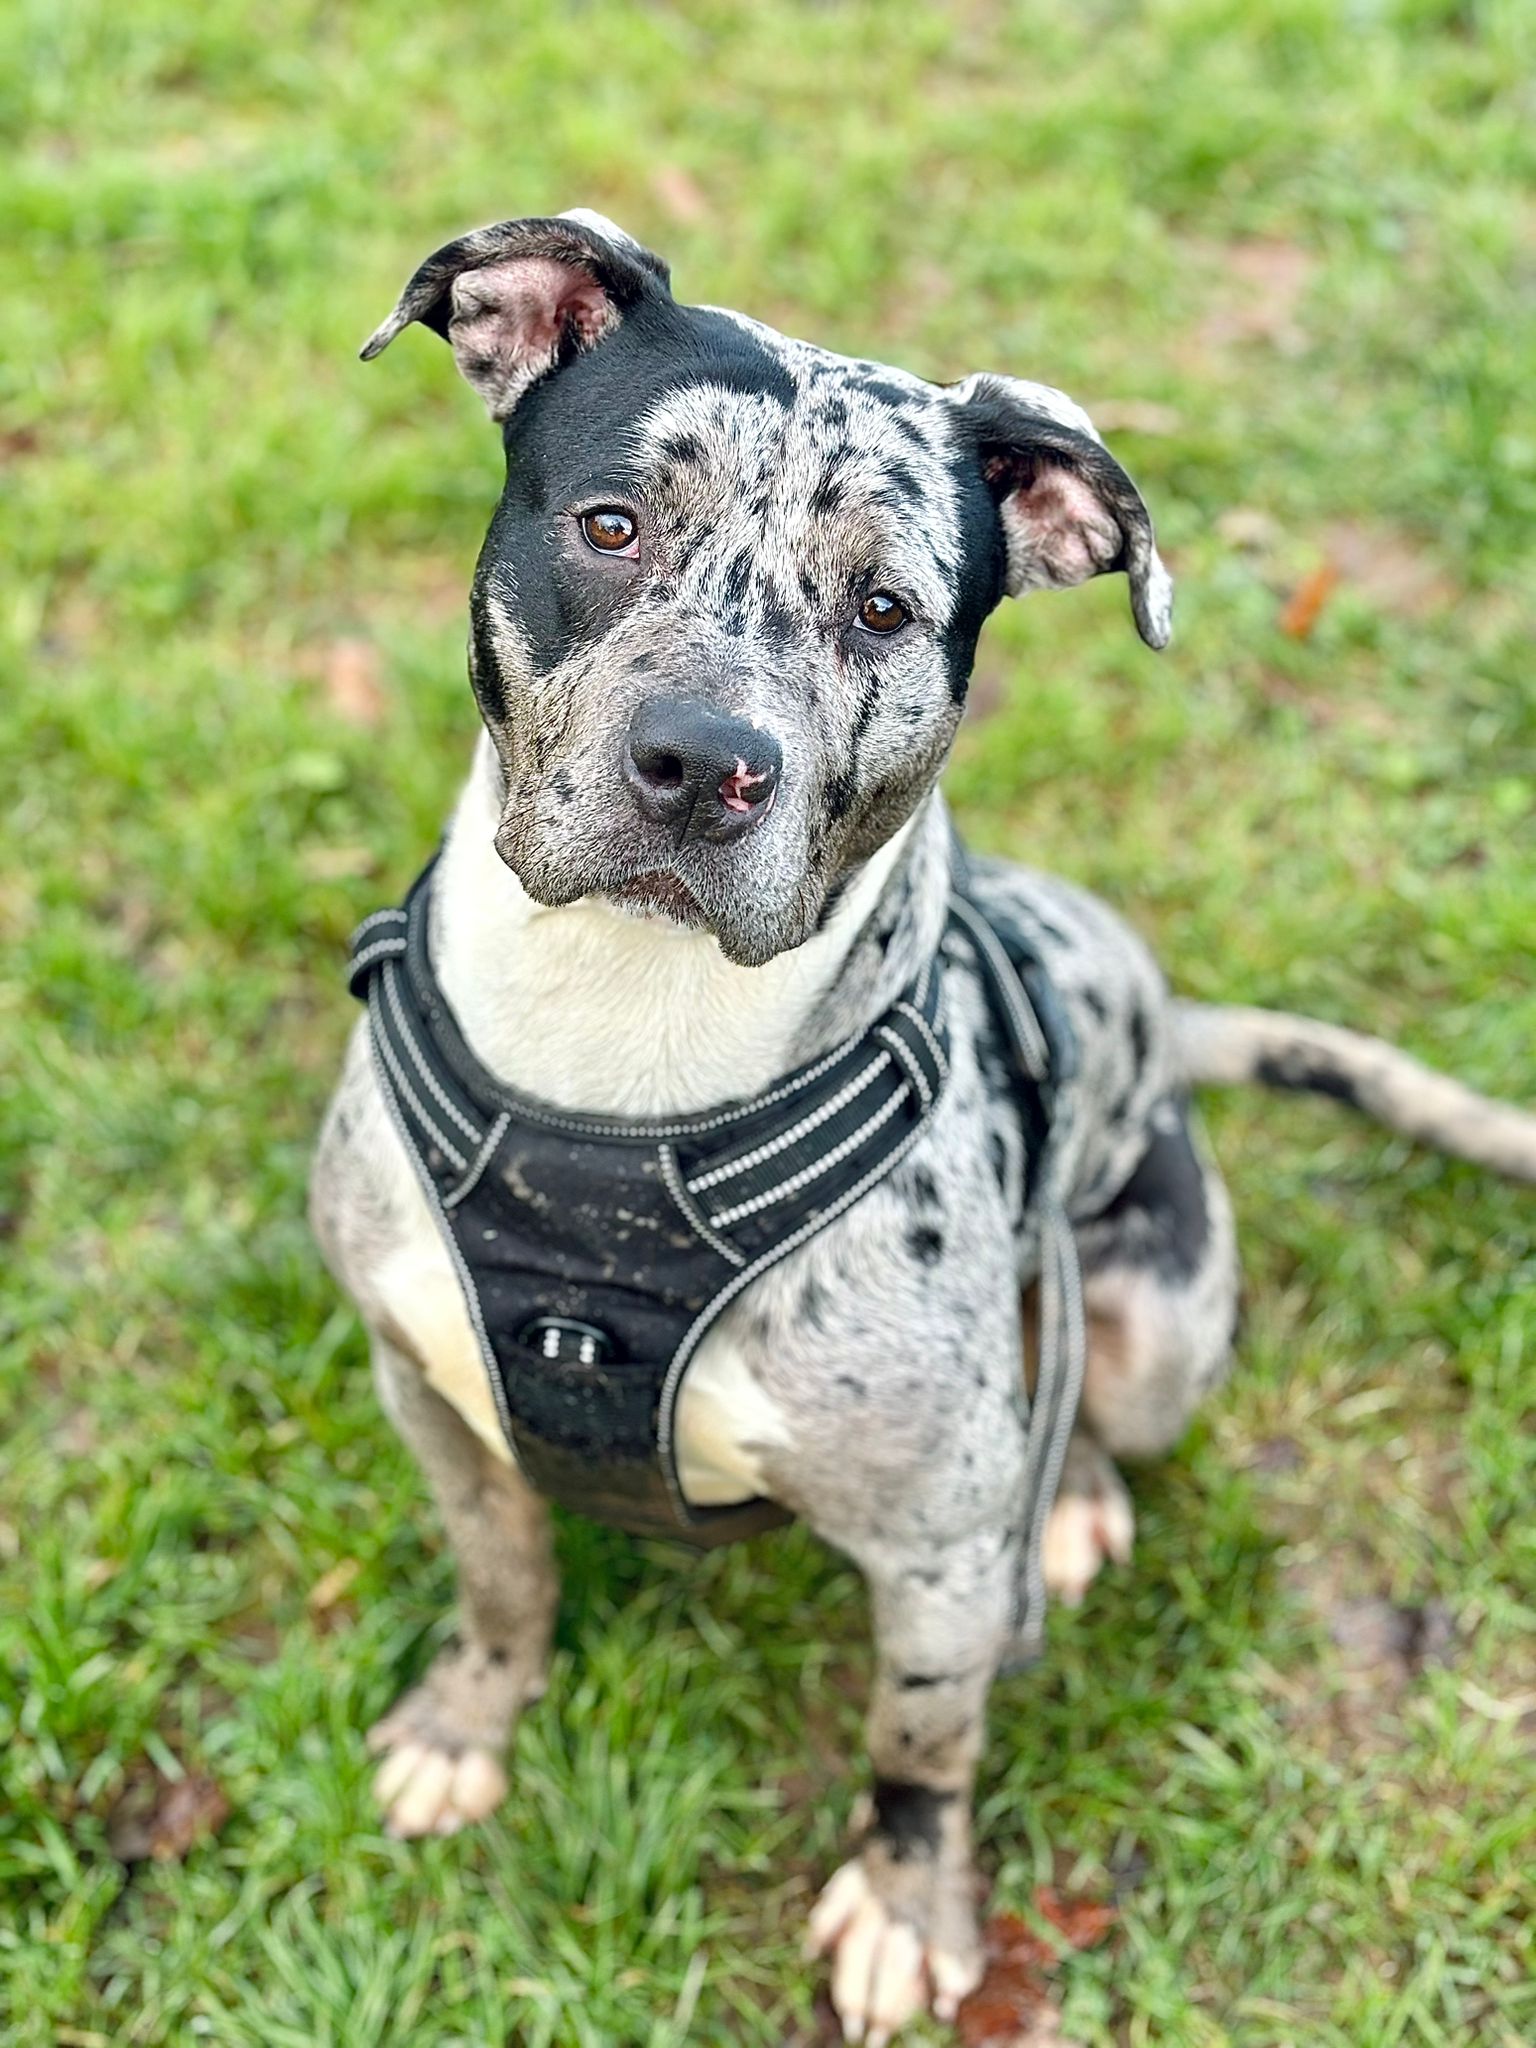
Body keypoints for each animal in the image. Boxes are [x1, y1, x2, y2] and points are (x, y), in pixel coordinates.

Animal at [313, 207, 1536, 2031]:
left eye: (886, 606)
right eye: (612, 524)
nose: (703, 761)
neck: (625, 1059)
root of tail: (1165, 1020)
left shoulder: (945, 1559)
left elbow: (920, 1742)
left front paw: (909, 1900)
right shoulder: (431, 1392)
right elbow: (501, 1573)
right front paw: (469, 1718)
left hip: (1158, 1336)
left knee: (1088, 1403)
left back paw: (1079, 1490)